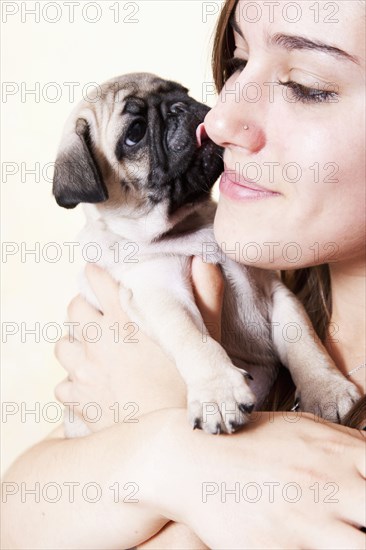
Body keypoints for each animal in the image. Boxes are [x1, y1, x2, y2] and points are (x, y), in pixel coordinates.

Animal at [52, 72, 360, 440]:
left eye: (181, 91)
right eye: (135, 133)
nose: (180, 107)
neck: (188, 226)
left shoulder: (276, 292)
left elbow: (304, 341)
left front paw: (326, 389)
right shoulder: (160, 295)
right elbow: (193, 339)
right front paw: (218, 394)